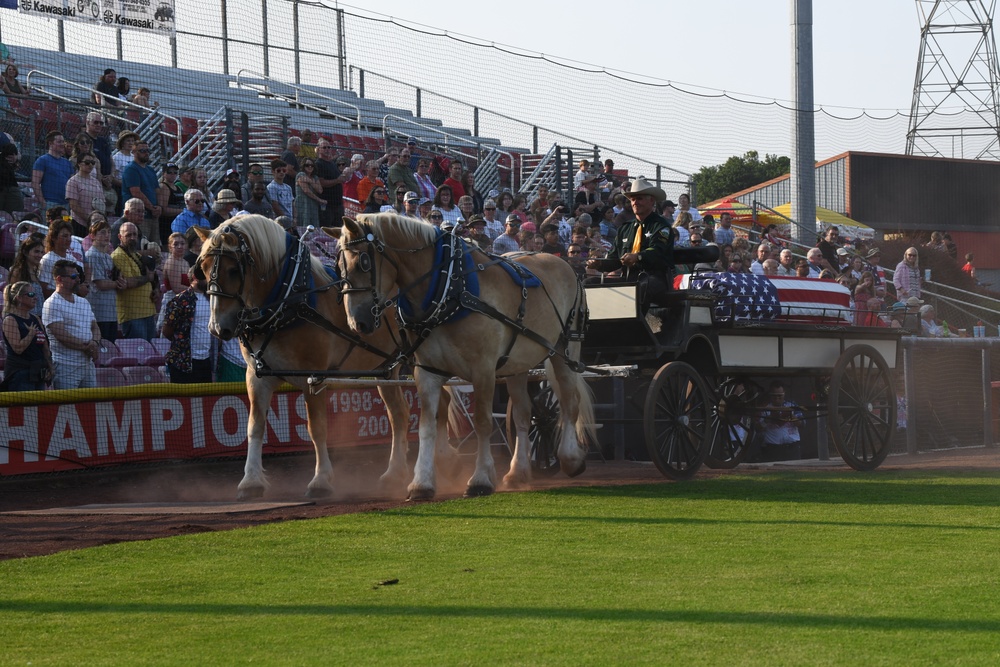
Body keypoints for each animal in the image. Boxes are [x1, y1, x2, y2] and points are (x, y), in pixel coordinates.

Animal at [198, 217, 454, 498]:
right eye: (203, 269)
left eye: (234, 270)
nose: (217, 328)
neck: (287, 303)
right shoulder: (257, 377)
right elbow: (254, 426)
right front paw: (251, 481)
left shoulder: (314, 376)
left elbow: (317, 429)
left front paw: (320, 480)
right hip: (389, 367)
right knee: (400, 414)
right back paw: (395, 473)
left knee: (439, 404)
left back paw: (443, 459)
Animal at [326, 211, 592, 498]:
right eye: (338, 267)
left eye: (364, 262)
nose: (358, 323)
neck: (449, 290)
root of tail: (562, 262)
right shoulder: (428, 371)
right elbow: (426, 425)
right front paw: (421, 483)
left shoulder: (483, 369)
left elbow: (483, 422)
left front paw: (480, 479)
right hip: (517, 364)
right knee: (523, 414)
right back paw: (517, 472)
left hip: (565, 350)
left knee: (569, 402)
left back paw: (570, 459)